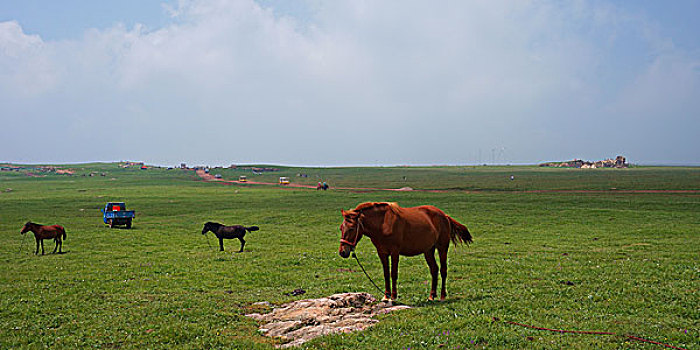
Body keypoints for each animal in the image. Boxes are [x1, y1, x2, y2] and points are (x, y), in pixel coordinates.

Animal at [338, 202, 474, 300]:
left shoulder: (395, 252)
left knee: (443, 270)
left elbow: (393, 273)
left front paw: (393, 296)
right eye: (341, 228)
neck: (383, 224)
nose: (342, 252)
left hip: (442, 248)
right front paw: (386, 296)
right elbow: (386, 273)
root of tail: (444, 216)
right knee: (434, 270)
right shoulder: (382, 253)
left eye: (351, 228)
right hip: (428, 250)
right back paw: (431, 296)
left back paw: (442, 296)